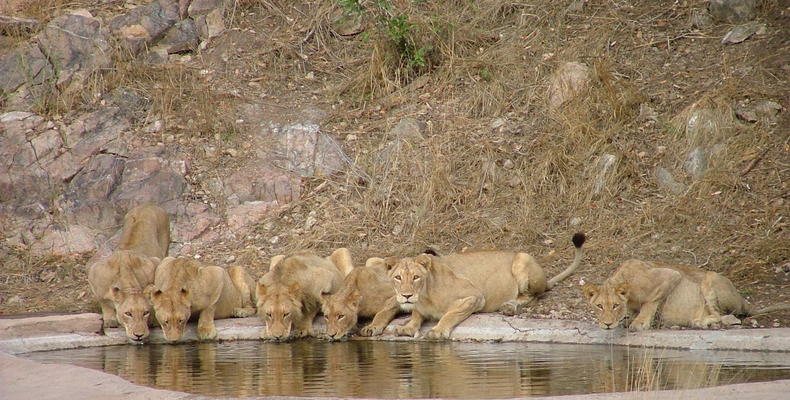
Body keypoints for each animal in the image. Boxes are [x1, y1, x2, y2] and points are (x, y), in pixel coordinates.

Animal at [87, 203, 169, 344]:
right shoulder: (94, 272)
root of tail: (147, 204)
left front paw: (152, 321)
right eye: (128, 313)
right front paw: (110, 321)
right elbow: (104, 303)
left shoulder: (154, 263)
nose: (139, 335)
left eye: (145, 312)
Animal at [384, 233, 588, 340]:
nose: (406, 295)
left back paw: (510, 306)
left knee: (534, 296)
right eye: (398, 277)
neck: (424, 295)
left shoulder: (474, 297)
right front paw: (408, 327)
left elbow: (450, 314)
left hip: (522, 259)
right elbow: (416, 314)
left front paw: (438, 330)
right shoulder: (419, 307)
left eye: (416, 277)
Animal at [580, 260, 790, 332]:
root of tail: (743, 300)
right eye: (599, 306)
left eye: (615, 305)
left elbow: (650, 302)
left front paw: (640, 323)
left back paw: (702, 323)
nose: (607, 324)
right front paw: (628, 319)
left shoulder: (670, 275)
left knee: (723, 316)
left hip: (709, 278)